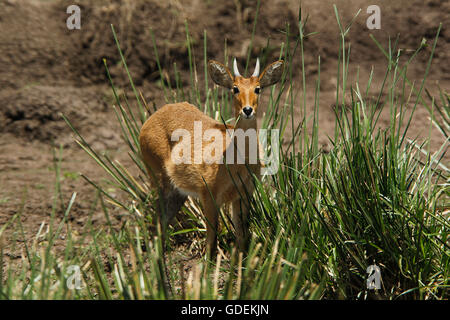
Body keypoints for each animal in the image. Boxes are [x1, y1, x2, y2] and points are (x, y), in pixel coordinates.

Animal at [139, 57, 284, 256]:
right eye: (235, 88)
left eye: (258, 88)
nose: (247, 110)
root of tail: (148, 121)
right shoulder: (209, 195)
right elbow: (211, 240)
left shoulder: (244, 194)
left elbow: (241, 236)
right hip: (159, 179)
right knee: (157, 224)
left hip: (177, 191)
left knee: (160, 225)